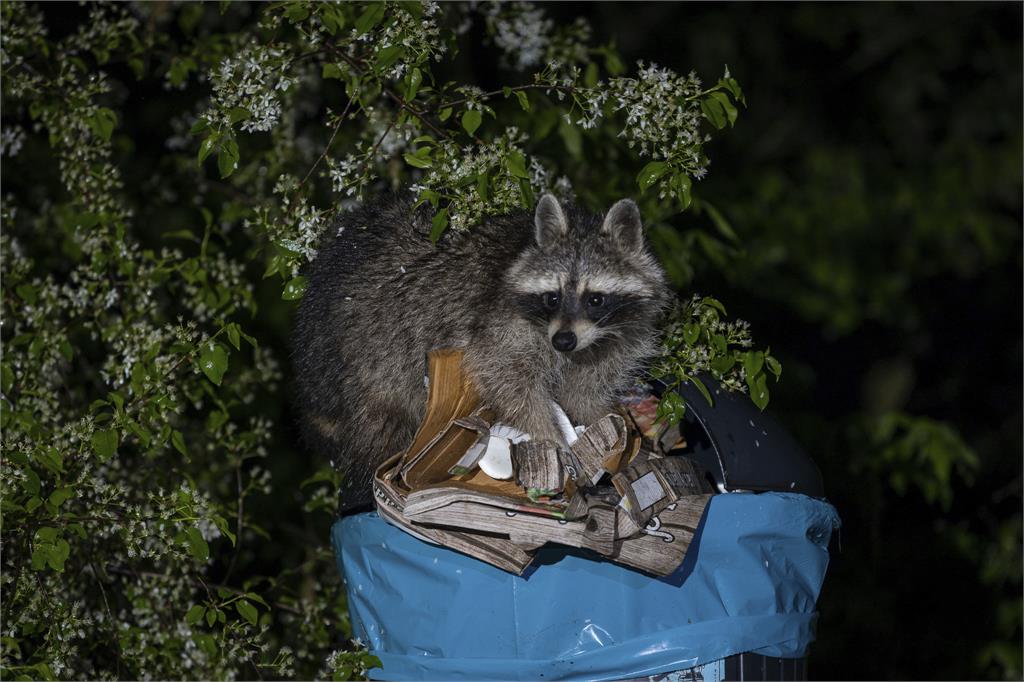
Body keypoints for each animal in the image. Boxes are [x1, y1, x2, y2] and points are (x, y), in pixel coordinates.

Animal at [290, 192, 671, 509]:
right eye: (552, 297)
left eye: (595, 299)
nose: (563, 341)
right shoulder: (500, 324)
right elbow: (507, 379)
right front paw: (553, 442)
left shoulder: (613, 341)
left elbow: (584, 393)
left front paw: (614, 436)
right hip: (365, 361)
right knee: (380, 427)